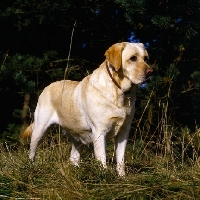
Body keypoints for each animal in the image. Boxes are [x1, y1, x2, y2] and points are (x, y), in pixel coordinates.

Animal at [23, 41, 152, 175]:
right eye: (133, 58)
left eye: (146, 58)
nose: (150, 72)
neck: (119, 93)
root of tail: (47, 86)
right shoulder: (100, 132)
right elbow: (102, 159)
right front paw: (104, 176)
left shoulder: (124, 132)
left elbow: (120, 161)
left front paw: (122, 177)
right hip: (40, 129)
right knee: (32, 152)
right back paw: (31, 167)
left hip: (77, 136)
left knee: (73, 157)